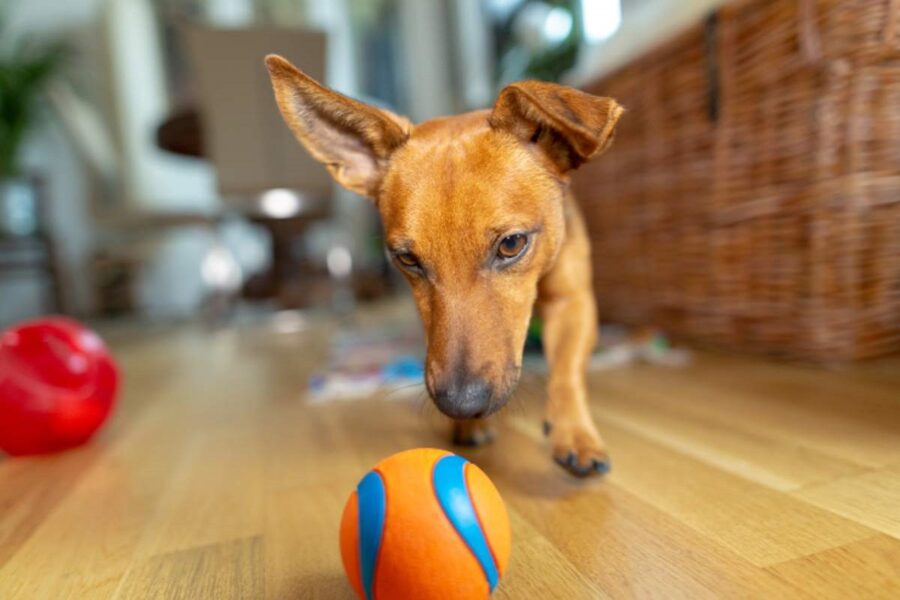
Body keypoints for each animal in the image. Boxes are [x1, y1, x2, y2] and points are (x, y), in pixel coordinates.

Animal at [264, 54, 624, 476]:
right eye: (407, 259)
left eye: (512, 244)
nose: (461, 405)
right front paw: (470, 427)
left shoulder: (572, 301)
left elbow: (567, 371)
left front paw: (575, 433)